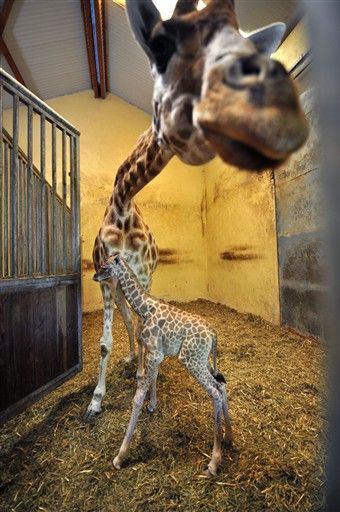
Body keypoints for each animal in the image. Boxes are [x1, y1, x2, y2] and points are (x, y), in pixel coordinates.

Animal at [83, 0, 308, 424]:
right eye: (163, 54)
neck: (123, 203)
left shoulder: (142, 274)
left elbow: (142, 327)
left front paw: (143, 383)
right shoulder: (108, 276)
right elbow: (104, 341)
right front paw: (95, 402)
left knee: (129, 320)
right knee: (122, 321)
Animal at [94, 256, 232, 476]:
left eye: (105, 267)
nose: (95, 276)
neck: (143, 307)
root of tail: (213, 334)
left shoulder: (155, 353)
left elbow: (137, 397)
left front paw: (119, 457)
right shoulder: (157, 353)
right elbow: (154, 379)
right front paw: (152, 405)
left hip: (192, 360)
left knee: (215, 391)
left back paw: (213, 463)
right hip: (205, 361)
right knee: (221, 384)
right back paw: (228, 437)